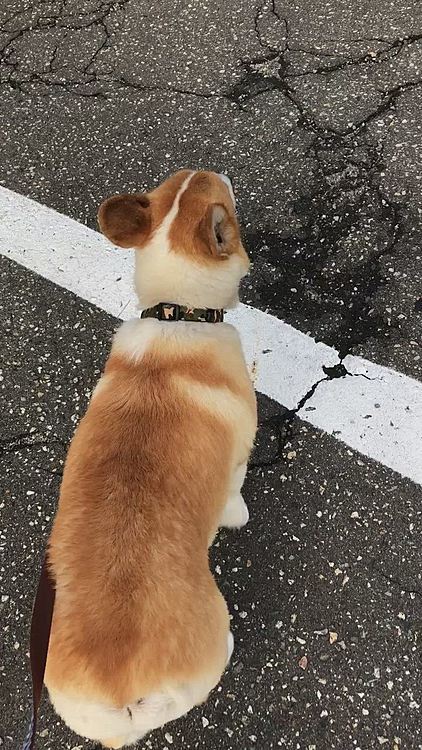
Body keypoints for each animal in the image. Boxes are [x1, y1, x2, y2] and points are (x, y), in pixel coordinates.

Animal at [45, 172, 258, 750]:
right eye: (226, 203)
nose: (215, 168)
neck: (177, 314)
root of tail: (120, 696)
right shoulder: (239, 458)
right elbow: (236, 492)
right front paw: (237, 514)